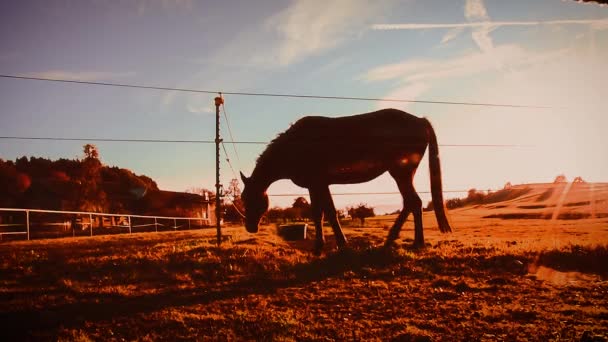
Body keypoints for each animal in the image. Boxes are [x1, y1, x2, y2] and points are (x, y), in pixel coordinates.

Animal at [241, 108, 452, 252]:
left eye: (251, 199)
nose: (250, 227)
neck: (296, 145)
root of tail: (421, 121)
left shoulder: (317, 184)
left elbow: (324, 213)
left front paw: (329, 246)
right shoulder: (319, 185)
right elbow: (324, 213)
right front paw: (331, 245)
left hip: (401, 173)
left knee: (413, 203)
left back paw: (410, 242)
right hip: (402, 174)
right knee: (411, 203)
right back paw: (399, 241)